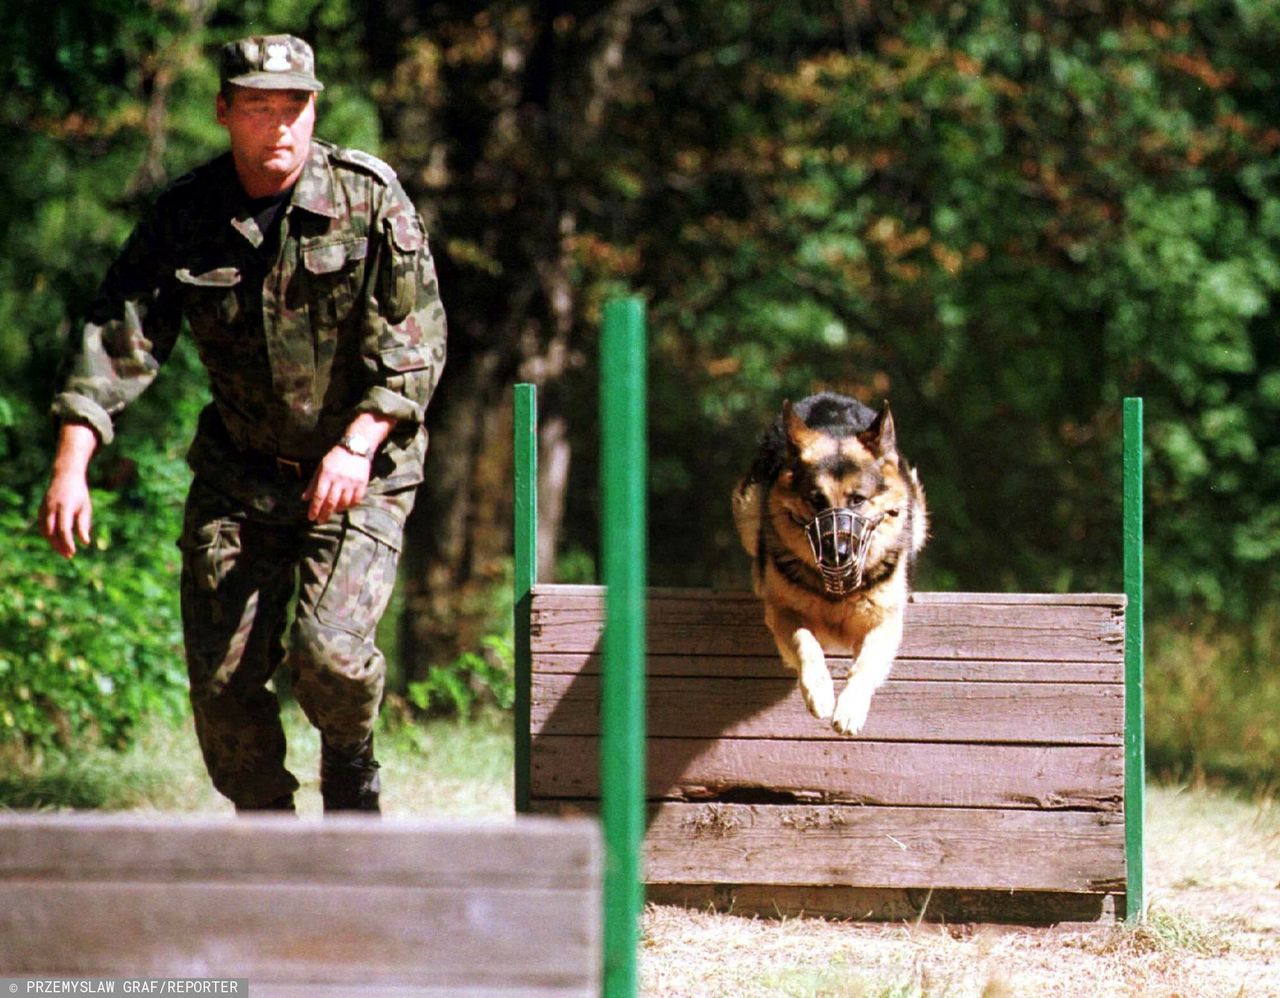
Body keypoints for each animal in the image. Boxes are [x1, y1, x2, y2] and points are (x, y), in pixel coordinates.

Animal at [732, 394, 931, 736]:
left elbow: (865, 664)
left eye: (857, 500)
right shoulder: (783, 612)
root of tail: (829, 396)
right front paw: (820, 692)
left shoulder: (883, 623)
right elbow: (806, 643)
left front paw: (850, 709)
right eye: (817, 500)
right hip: (747, 506)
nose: (836, 553)